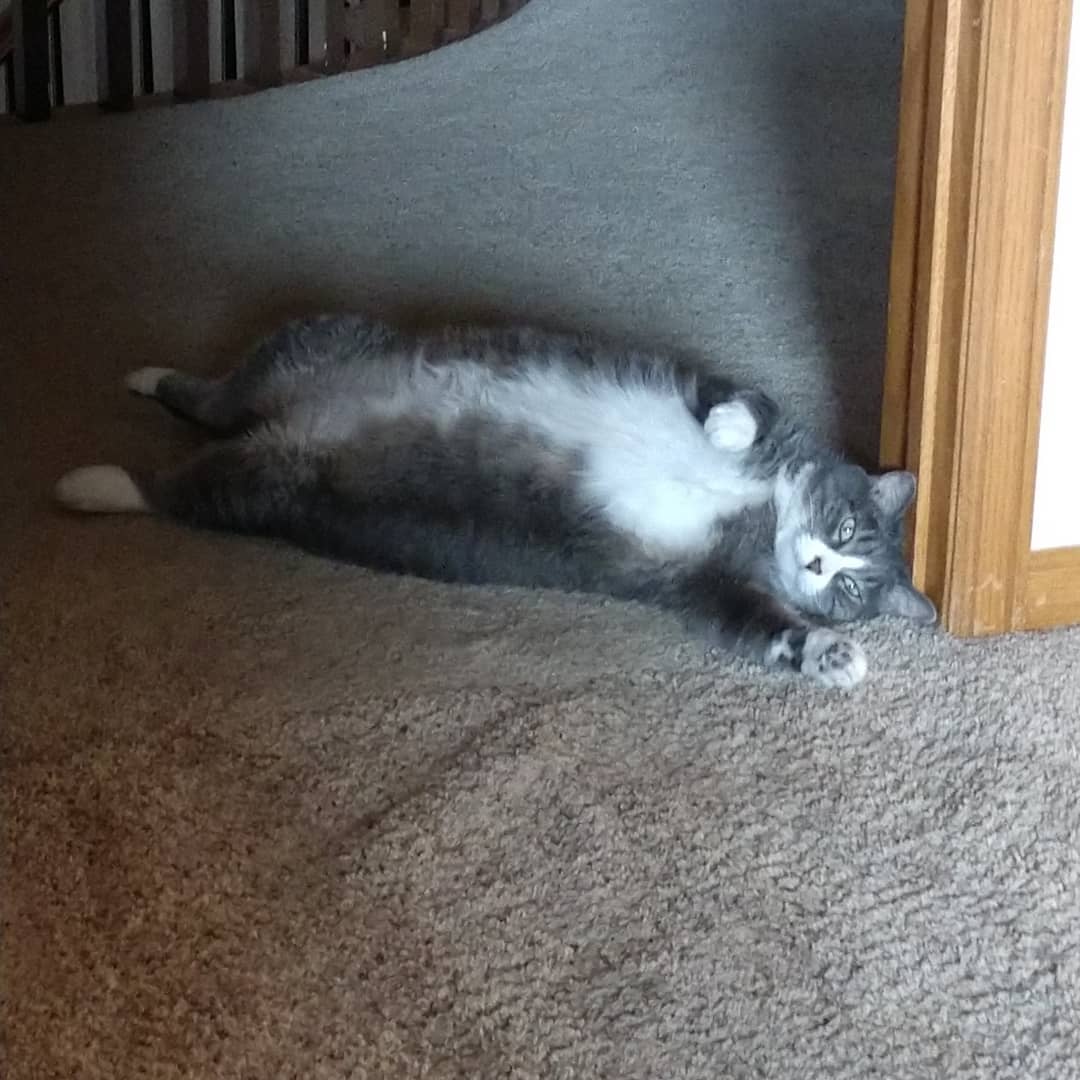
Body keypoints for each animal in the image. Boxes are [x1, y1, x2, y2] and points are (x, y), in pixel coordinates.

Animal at [54, 314, 936, 689]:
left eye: (852, 585)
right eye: (845, 525)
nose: (817, 563)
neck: (756, 513)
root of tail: (286, 417)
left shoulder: (694, 584)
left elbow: (755, 624)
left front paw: (830, 655)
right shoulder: (719, 388)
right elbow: (743, 398)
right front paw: (722, 431)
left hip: (264, 484)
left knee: (180, 485)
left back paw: (92, 483)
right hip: (312, 341)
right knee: (206, 399)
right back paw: (130, 403)